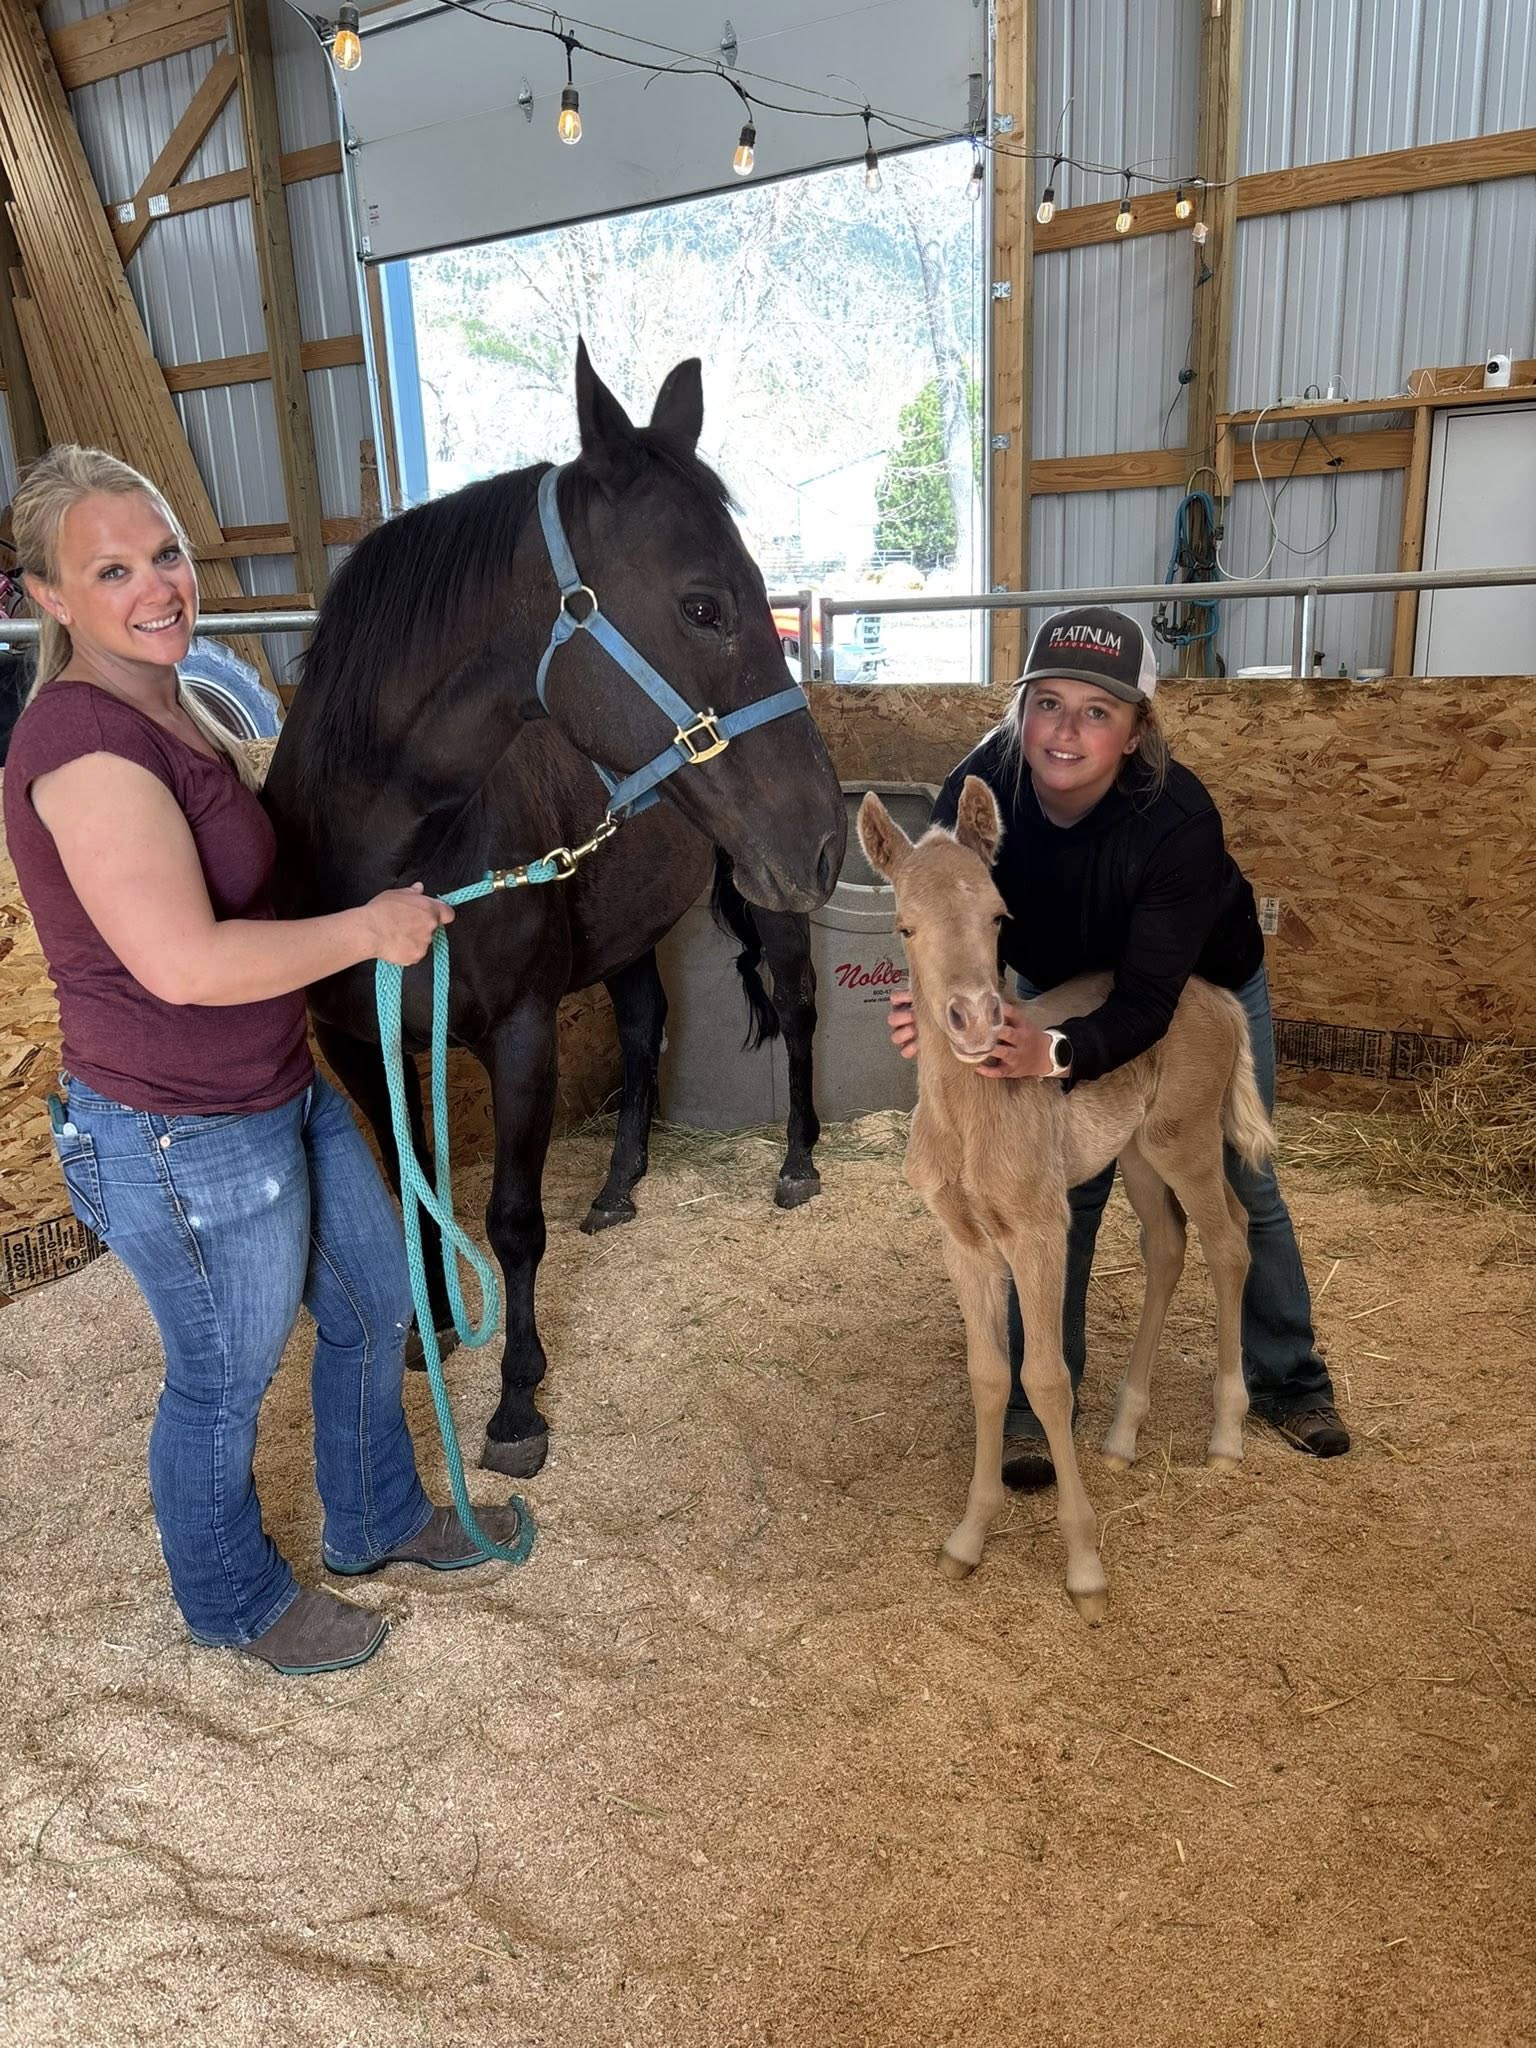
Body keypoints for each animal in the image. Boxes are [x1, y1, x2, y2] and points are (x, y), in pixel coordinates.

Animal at [263, 344, 846, 1479]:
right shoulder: (358, 1043)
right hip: (629, 929)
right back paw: (619, 1186)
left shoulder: (522, 1032)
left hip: (770, 903)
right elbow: (409, 1183)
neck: (396, 856)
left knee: (797, 1013)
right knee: (644, 1024)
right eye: (704, 606)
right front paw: (434, 1332)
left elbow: (510, 1218)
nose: (827, 838)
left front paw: (516, 1400)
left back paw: (797, 1162)